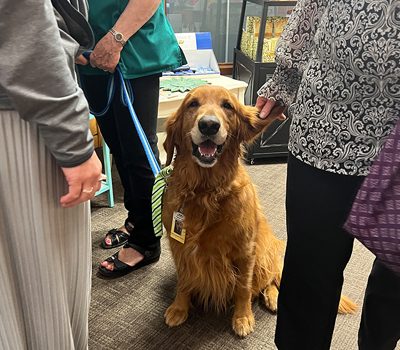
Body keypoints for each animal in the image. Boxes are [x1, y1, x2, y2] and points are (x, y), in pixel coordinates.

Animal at [161, 84, 354, 336]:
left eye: (227, 106)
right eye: (192, 104)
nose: (209, 125)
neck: (205, 190)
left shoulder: (245, 251)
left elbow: (243, 287)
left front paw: (242, 317)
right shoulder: (180, 248)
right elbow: (184, 280)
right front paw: (179, 308)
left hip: (264, 251)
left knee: (269, 278)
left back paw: (273, 297)